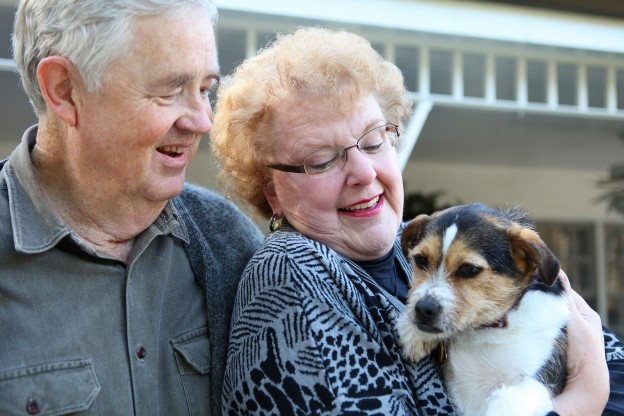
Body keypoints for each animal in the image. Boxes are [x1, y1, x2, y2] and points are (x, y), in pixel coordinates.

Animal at [398, 203, 568, 414]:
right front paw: (414, 333)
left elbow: (506, 401)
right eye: (420, 260)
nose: (423, 309)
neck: (490, 328)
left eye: (469, 269)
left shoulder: (539, 382)